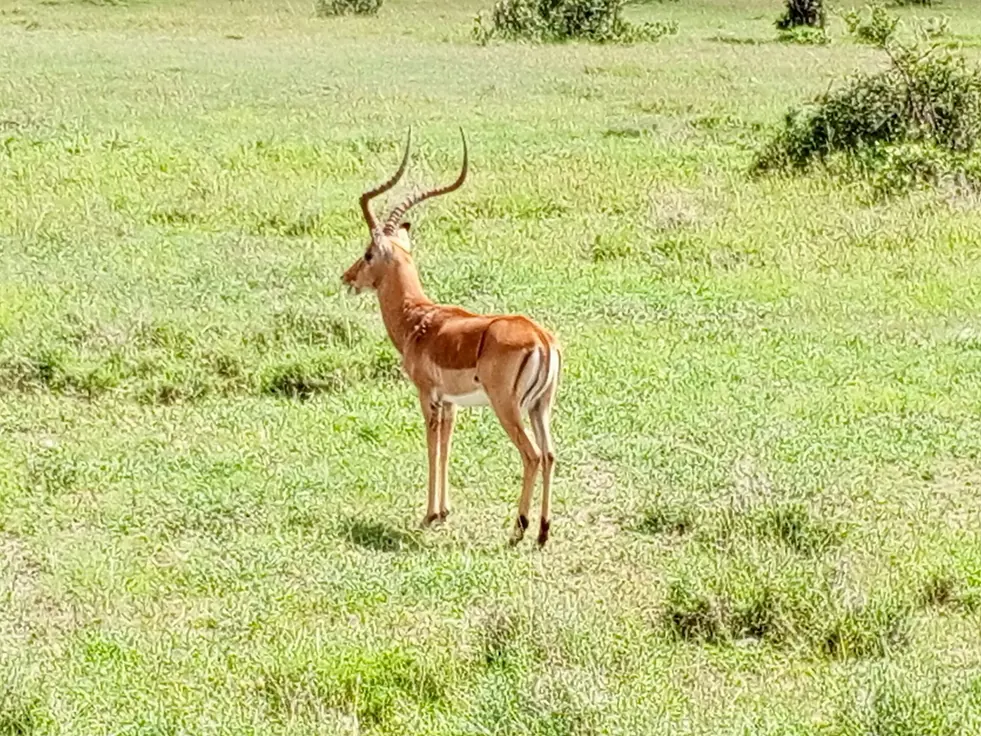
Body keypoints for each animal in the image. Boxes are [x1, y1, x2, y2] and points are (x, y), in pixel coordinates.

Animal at [341, 128, 561, 547]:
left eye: (367, 252)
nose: (347, 278)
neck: (419, 320)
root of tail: (541, 338)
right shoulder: (451, 404)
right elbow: (446, 448)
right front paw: (443, 512)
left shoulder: (427, 395)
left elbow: (431, 448)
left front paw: (429, 514)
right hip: (541, 408)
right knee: (551, 453)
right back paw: (542, 532)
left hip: (507, 408)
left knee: (532, 455)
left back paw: (519, 529)